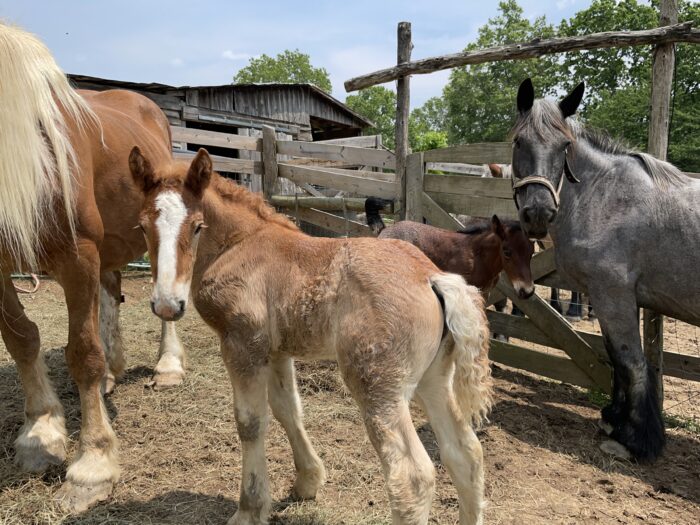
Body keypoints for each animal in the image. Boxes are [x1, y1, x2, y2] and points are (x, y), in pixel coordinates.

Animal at [0, 22, 183, 510]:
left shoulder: (76, 253)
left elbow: (82, 352)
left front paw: (93, 465)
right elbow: (21, 339)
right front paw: (41, 432)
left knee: (164, 299)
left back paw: (168, 366)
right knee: (111, 290)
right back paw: (112, 374)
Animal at [131, 147, 492, 524]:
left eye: (198, 226)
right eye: (142, 226)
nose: (167, 304)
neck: (238, 244)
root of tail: (432, 277)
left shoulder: (241, 344)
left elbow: (250, 422)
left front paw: (249, 509)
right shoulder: (276, 351)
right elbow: (287, 410)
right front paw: (307, 482)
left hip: (380, 387)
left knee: (413, 476)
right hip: (434, 380)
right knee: (465, 455)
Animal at [364, 199, 532, 300]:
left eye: (531, 253)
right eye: (507, 252)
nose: (528, 292)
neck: (478, 258)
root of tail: (385, 229)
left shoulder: (483, 293)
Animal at [508, 78, 700, 458]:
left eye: (564, 146)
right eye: (519, 141)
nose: (538, 214)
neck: (607, 199)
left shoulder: (614, 294)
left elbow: (631, 361)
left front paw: (637, 439)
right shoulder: (612, 298)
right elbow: (616, 357)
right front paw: (614, 418)